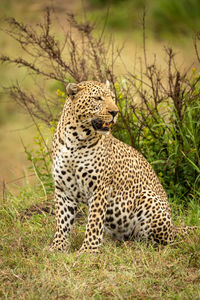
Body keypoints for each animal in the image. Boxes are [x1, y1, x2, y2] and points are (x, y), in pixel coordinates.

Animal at [50, 80, 198, 253]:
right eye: (98, 98)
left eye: (112, 98)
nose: (115, 112)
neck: (75, 140)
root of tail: (174, 228)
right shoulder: (63, 189)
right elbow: (62, 221)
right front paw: (58, 246)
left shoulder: (100, 188)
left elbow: (94, 221)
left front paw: (88, 250)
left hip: (148, 199)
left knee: (157, 242)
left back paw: (131, 246)